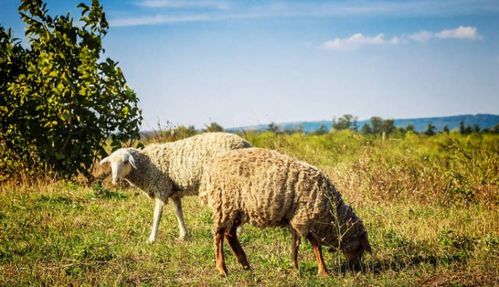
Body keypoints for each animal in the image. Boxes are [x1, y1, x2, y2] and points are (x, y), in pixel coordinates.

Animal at [100, 133, 252, 243]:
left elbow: (157, 215)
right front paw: (183, 235)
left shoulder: (161, 188)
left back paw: (238, 233)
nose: (115, 180)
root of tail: (246, 144)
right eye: (111, 164)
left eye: (125, 162)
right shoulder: (174, 192)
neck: (146, 165)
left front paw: (151, 239)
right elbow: (178, 212)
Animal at [199, 147, 372, 278]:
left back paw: (245, 264)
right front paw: (323, 271)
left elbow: (295, 245)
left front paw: (295, 268)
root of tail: (213, 165)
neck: (331, 214)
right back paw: (222, 269)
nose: (357, 268)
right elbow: (316, 245)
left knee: (230, 233)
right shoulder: (304, 219)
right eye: (360, 247)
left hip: (236, 209)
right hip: (224, 203)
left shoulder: (295, 220)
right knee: (219, 234)